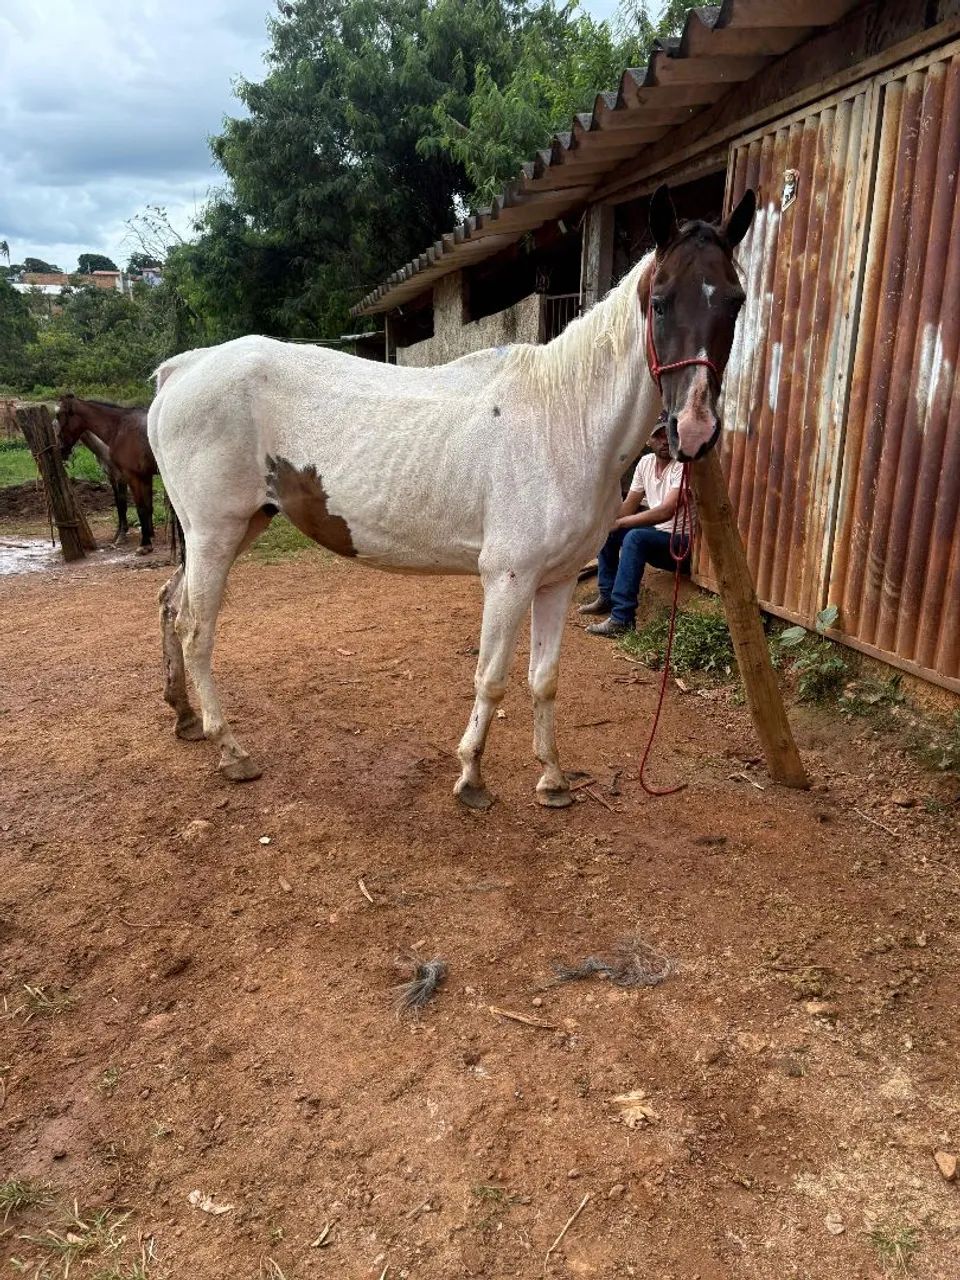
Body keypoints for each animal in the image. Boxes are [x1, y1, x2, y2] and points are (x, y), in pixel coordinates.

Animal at [56, 395, 158, 554]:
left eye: (59, 416)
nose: (61, 449)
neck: (120, 427)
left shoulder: (131, 477)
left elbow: (140, 508)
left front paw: (144, 544)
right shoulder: (145, 476)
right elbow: (147, 507)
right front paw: (149, 537)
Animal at [149, 184, 755, 803]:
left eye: (735, 302)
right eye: (660, 301)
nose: (695, 430)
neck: (565, 421)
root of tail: (185, 368)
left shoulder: (557, 581)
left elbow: (544, 679)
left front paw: (553, 779)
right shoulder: (508, 579)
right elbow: (491, 679)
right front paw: (471, 777)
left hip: (233, 528)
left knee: (171, 607)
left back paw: (186, 717)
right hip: (215, 534)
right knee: (196, 631)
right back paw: (231, 750)